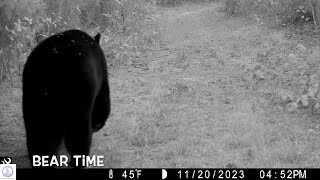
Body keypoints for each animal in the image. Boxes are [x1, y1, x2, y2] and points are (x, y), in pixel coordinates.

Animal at [22, 28, 110, 168]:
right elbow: (103, 100)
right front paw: (97, 124)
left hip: (34, 100)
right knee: (78, 133)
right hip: (77, 96)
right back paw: (78, 161)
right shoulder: (101, 75)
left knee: (40, 138)